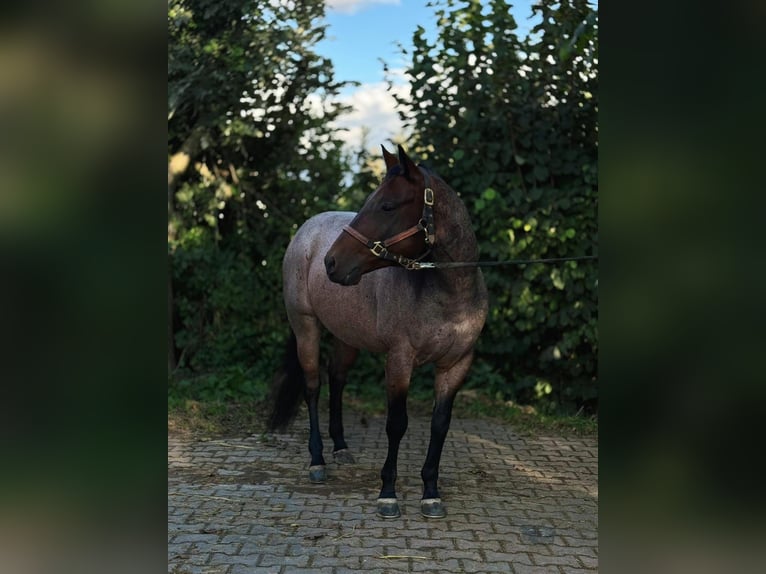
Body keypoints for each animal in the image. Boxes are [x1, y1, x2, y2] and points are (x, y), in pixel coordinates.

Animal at [268, 145, 488, 520]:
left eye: (387, 206)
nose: (331, 263)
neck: (449, 292)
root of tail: (307, 231)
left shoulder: (456, 365)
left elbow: (440, 425)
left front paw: (431, 493)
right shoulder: (399, 360)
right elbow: (396, 423)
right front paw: (388, 494)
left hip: (347, 336)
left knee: (337, 377)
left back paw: (341, 447)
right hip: (306, 327)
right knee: (313, 387)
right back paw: (318, 460)